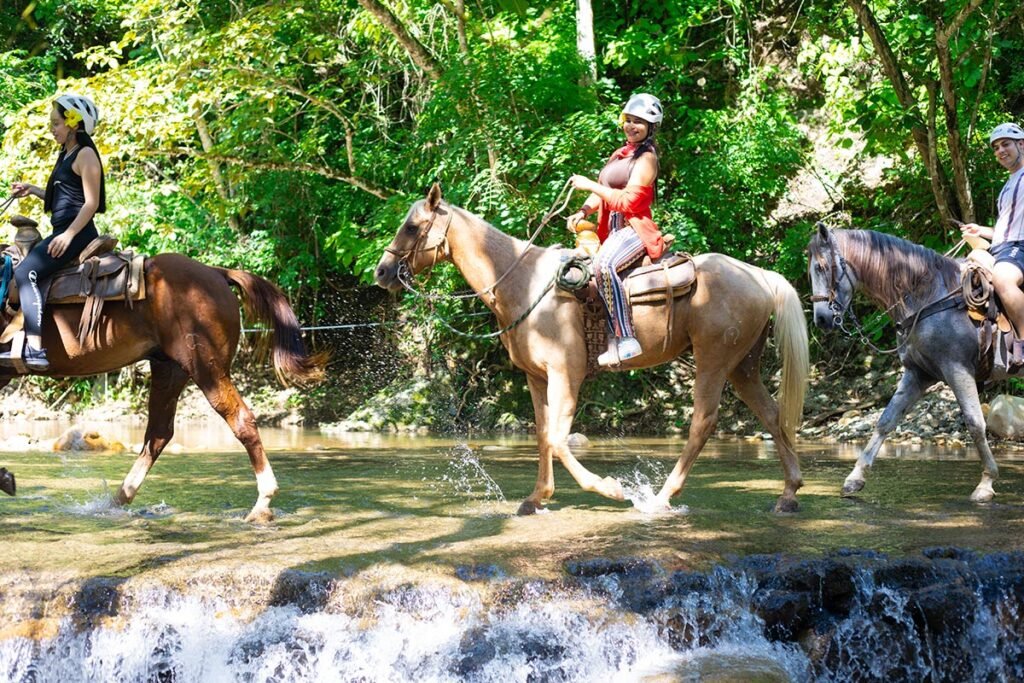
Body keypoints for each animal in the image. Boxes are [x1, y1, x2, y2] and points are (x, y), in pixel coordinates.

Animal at [0, 252, 323, 524]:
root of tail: (216, 272)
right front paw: (5, 477)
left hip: (206, 368)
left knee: (239, 419)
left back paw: (262, 504)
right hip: (170, 369)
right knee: (158, 434)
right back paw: (116, 501)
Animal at [374, 184, 806, 516]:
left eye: (412, 226)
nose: (381, 272)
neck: (524, 283)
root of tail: (758, 274)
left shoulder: (566, 373)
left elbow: (558, 438)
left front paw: (610, 488)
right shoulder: (536, 377)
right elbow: (543, 434)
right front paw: (537, 498)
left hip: (713, 360)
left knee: (703, 421)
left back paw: (661, 497)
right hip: (743, 366)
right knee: (772, 415)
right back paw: (788, 494)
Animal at [802, 224, 995, 501]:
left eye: (821, 267)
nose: (821, 320)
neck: (929, 298)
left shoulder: (958, 370)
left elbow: (975, 423)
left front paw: (986, 483)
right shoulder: (918, 374)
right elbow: (886, 421)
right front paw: (855, 478)